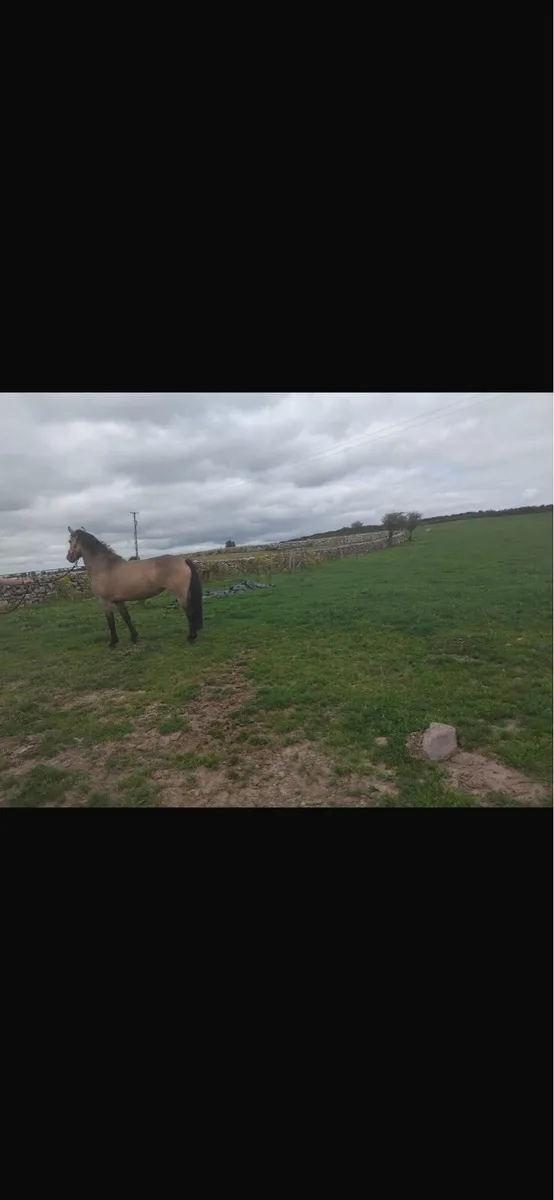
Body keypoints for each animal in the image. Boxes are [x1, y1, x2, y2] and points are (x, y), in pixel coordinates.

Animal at [66, 527, 203, 649]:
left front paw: (112, 642)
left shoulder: (105, 601)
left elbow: (111, 621)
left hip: (180, 595)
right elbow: (126, 617)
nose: (69, 558)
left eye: (69, 541)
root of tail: (182, 559)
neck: (105, 567)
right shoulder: (118, 601)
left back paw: (191, 637)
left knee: (189, 612)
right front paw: (134, 637)